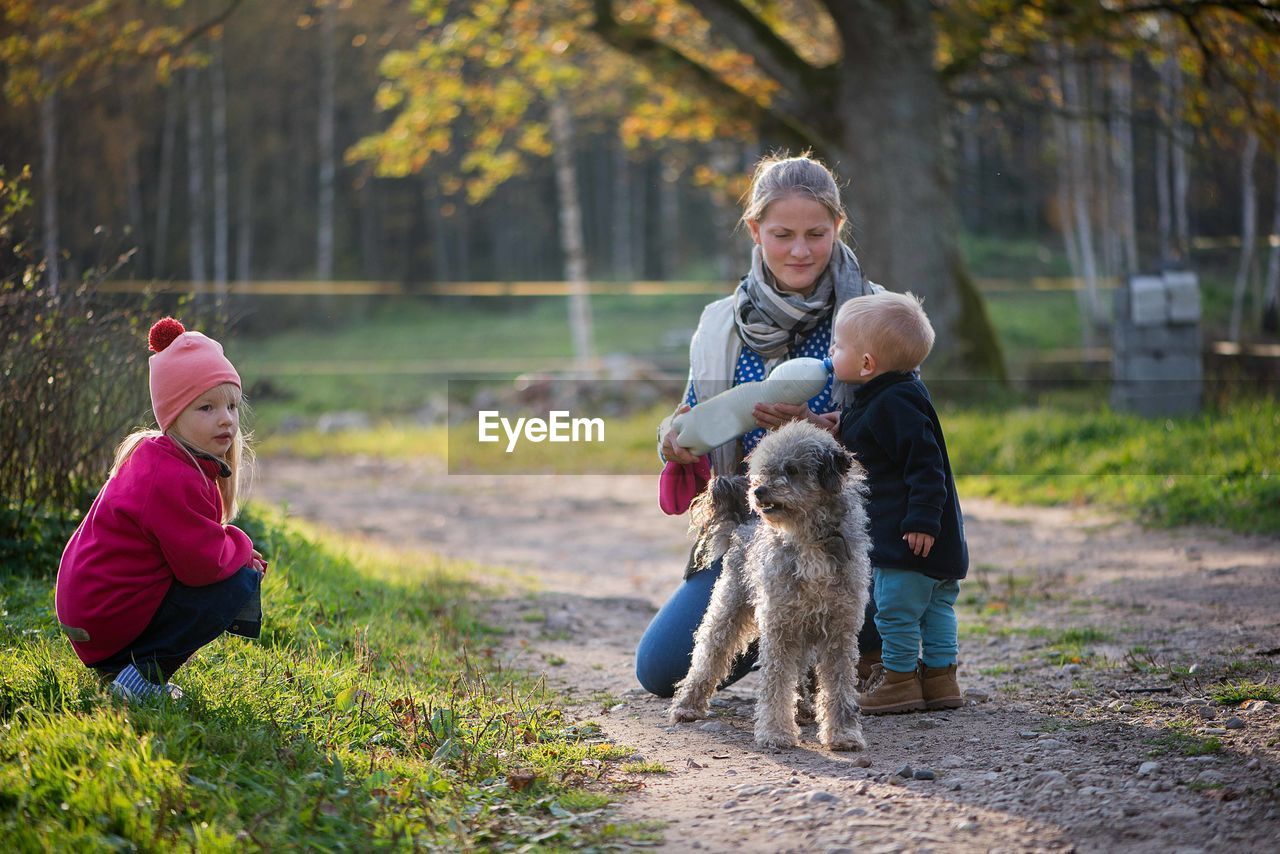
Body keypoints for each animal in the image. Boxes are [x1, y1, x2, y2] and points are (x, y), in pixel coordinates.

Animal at [670, 419, 870, 747]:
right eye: (763, 470)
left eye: (791, 469)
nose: (759, 490)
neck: (806, 539)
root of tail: (744, 524)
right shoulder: (779, 625)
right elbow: (775, 685)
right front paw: (776, 732)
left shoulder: (839, 629)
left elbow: (839, 688)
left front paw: (844, 734)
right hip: (730, 609)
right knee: (708, 654)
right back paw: (687, 706)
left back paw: (803, 709)